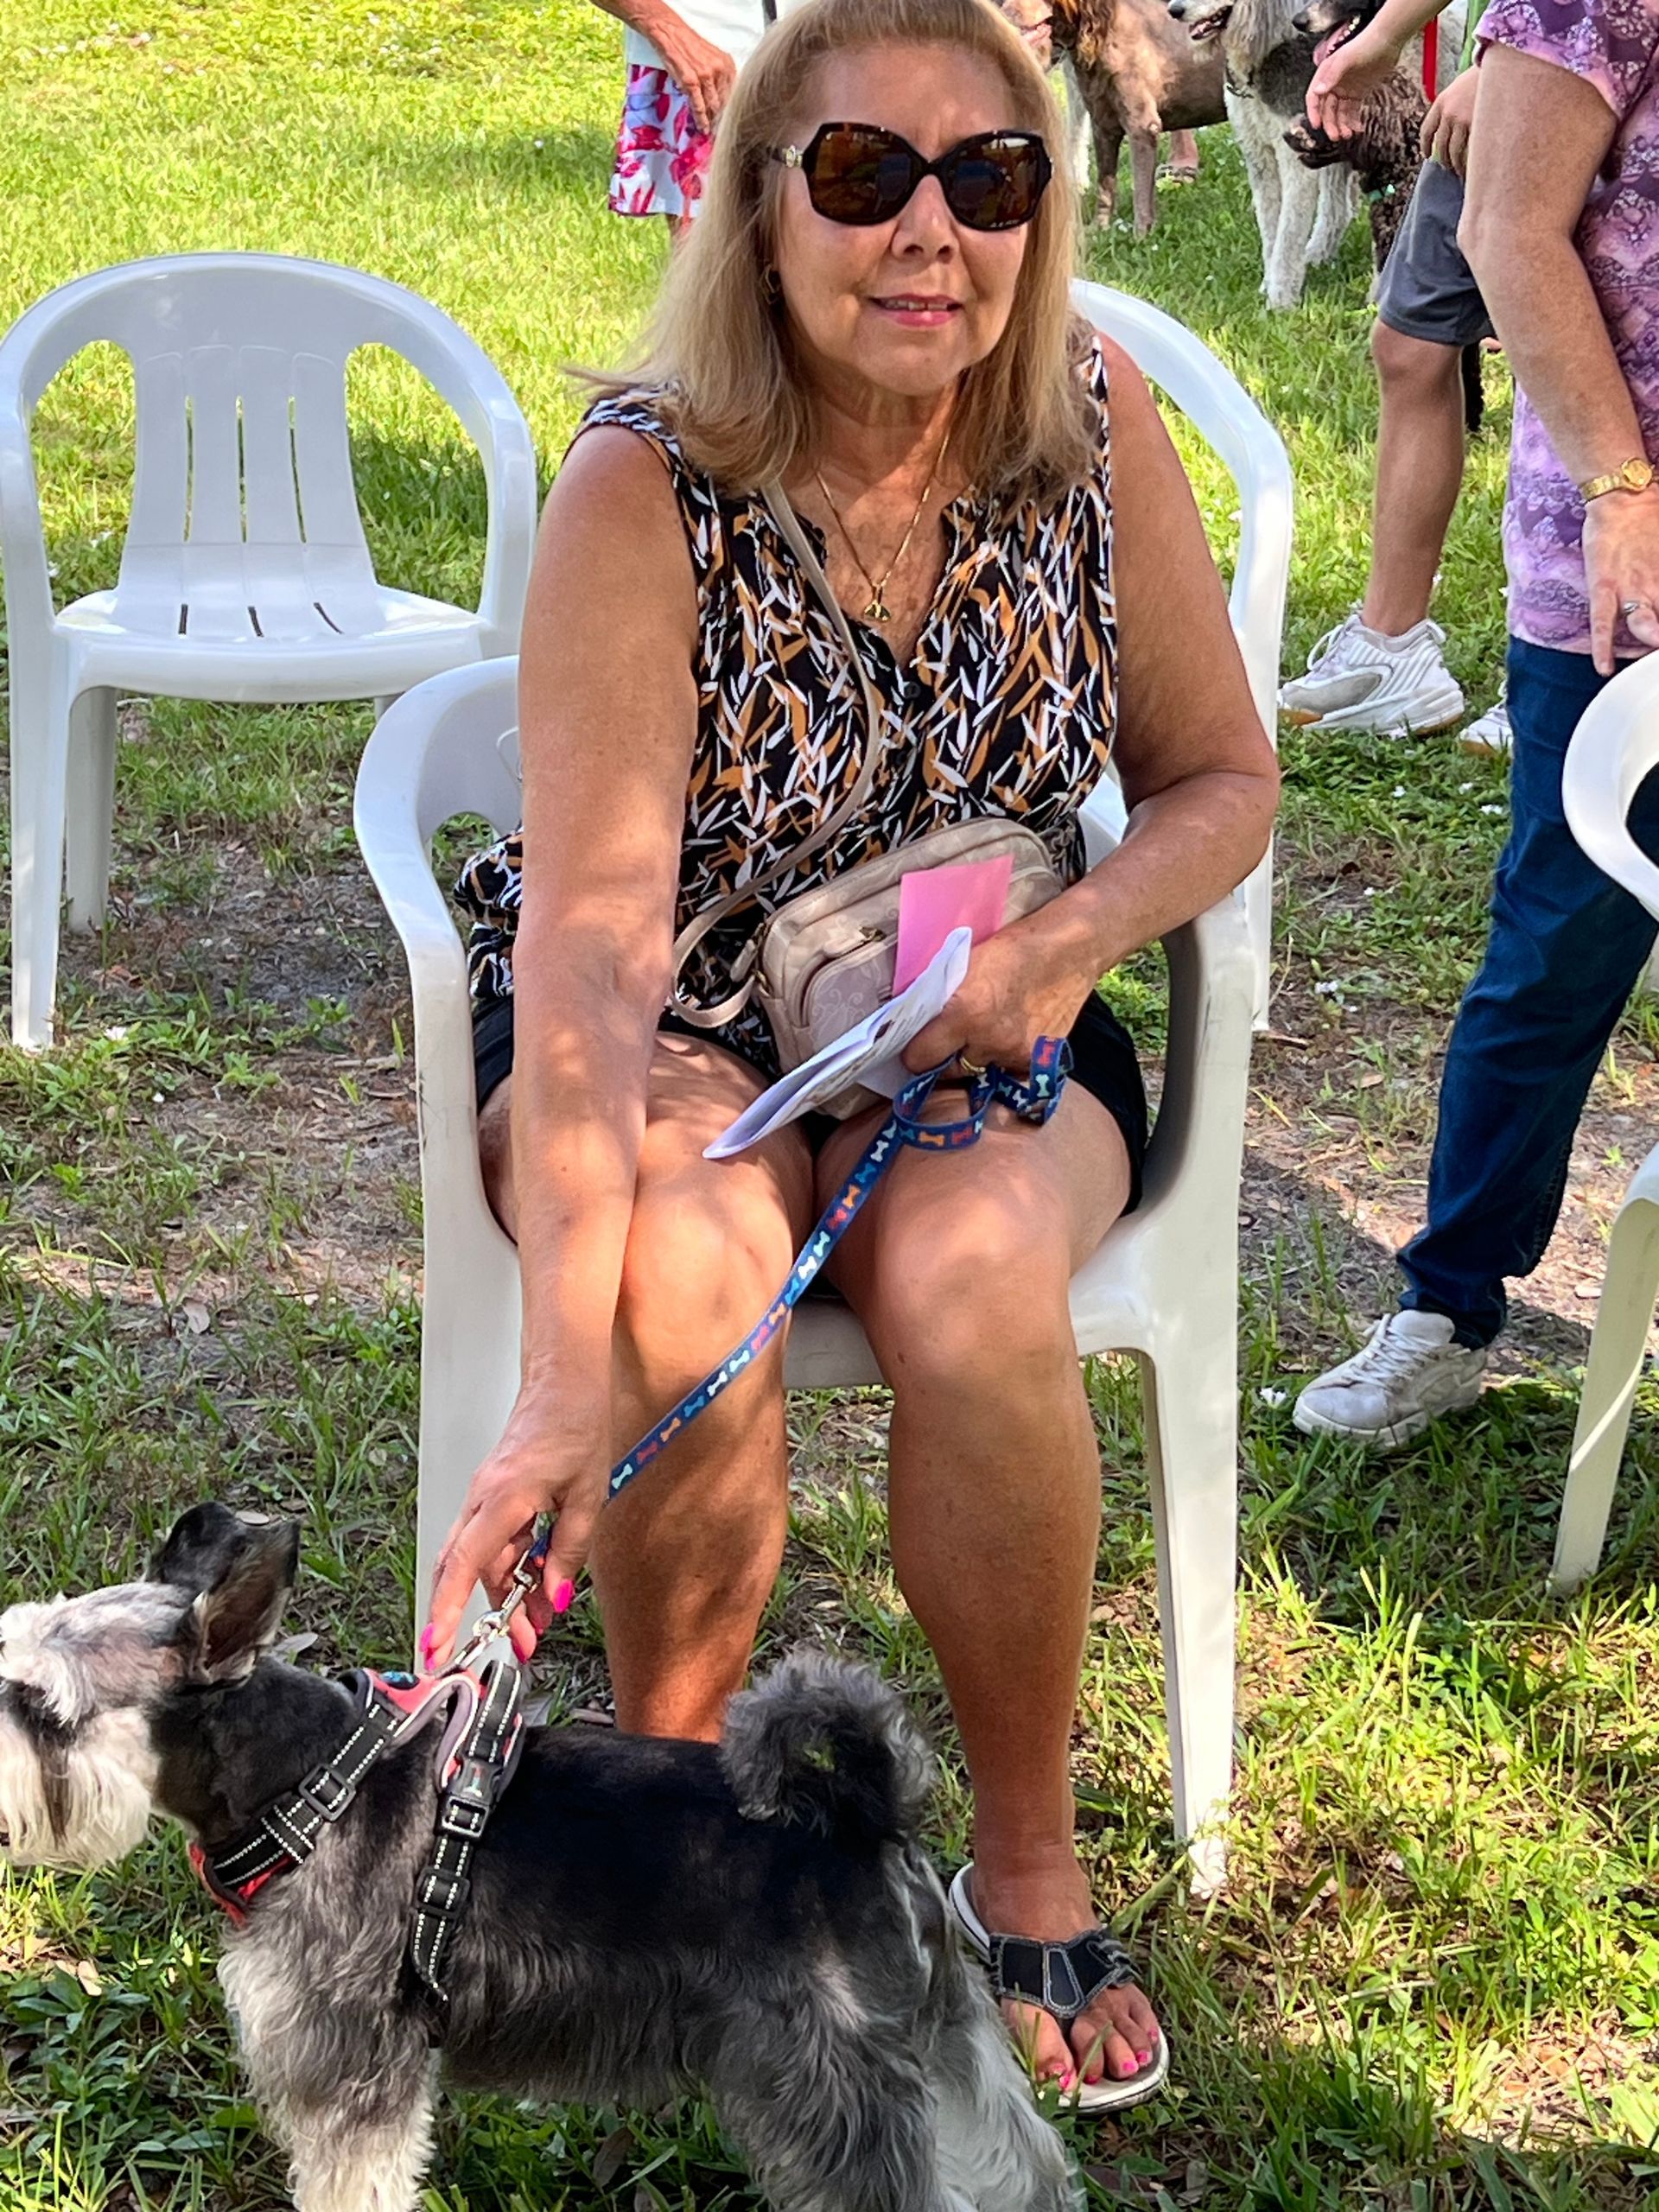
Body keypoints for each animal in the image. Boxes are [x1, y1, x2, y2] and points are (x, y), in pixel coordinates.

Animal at [0, 1504, 1080, 2212]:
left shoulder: (353, 2077)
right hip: (946, 2041)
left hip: (837, 2090)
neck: (307, 1782)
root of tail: (864, 1814)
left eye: (42, 1705)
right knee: (1022, 2163)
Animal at [1002, 0, 1226, 234]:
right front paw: (1099, 227)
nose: (1004, 9)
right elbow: (1105, 185)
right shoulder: (1102, 127)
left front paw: (1141, 235)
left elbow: (1140, 192)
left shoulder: (1142, 127)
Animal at [1167, 0, 1360, 307]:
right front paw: (1268, 285)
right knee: (1338, 210)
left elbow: (1288, 230)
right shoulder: (1258, 153)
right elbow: (1270, 226)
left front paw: (1280, 299)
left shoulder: (1293, 157)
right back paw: (1317, 255)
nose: (1174, 10)